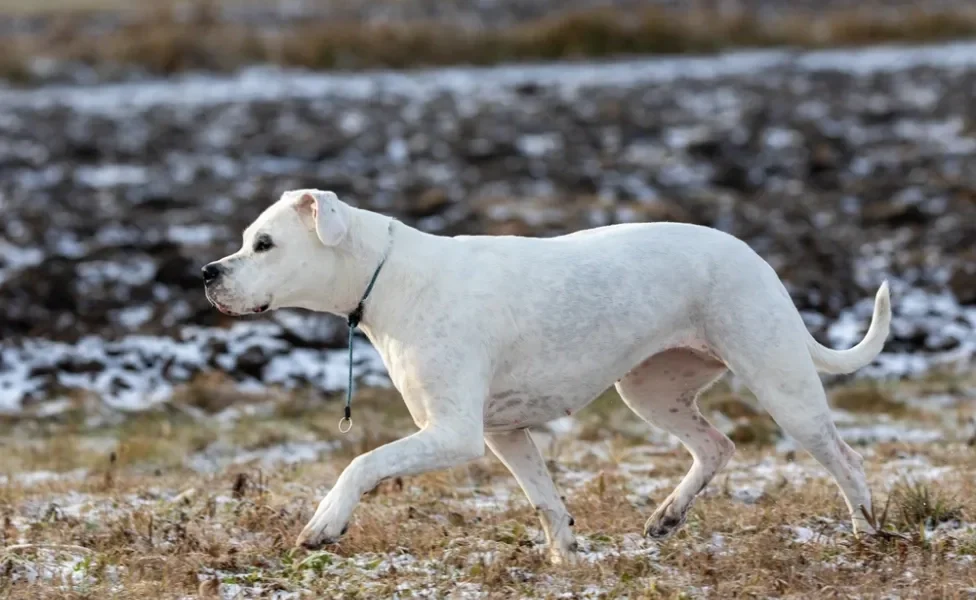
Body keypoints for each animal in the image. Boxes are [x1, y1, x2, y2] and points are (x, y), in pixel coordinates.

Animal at [206, 189, 892, 564]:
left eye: (264, 244)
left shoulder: (452, 433)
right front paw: (568, 558)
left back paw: (865, 534)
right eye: (245, 240)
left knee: (846, 458)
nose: (208, 272)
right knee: (716, 445)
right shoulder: (502, 434)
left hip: (781, 383)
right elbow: (545, 500)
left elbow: (361, 462)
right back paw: (667, 517)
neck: (386, 273)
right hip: (649, 390)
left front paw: (325, 524)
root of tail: (754, 254)